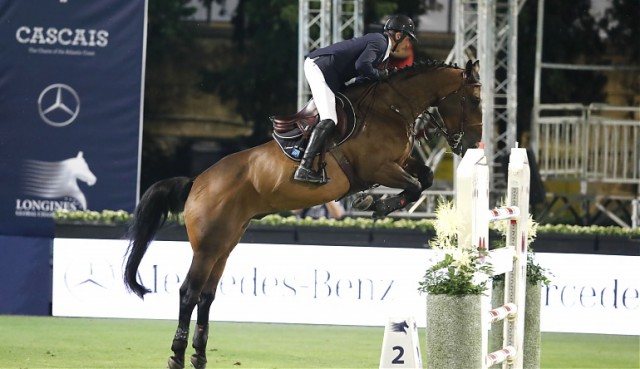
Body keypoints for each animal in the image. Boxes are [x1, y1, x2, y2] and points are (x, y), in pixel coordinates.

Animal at [125, 59, 482, 366]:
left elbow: (425, 178)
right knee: (189, 292)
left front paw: (377, 204)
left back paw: (199, 356)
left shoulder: (400, 162)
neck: (392, 107)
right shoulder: (380, 167)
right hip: (208, 246)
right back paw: (177, 354)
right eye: (475, 100)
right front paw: (374, 204)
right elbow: (415, 184)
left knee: (206, 296)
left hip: (224, 245)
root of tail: (197, 181)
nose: (471, 142)